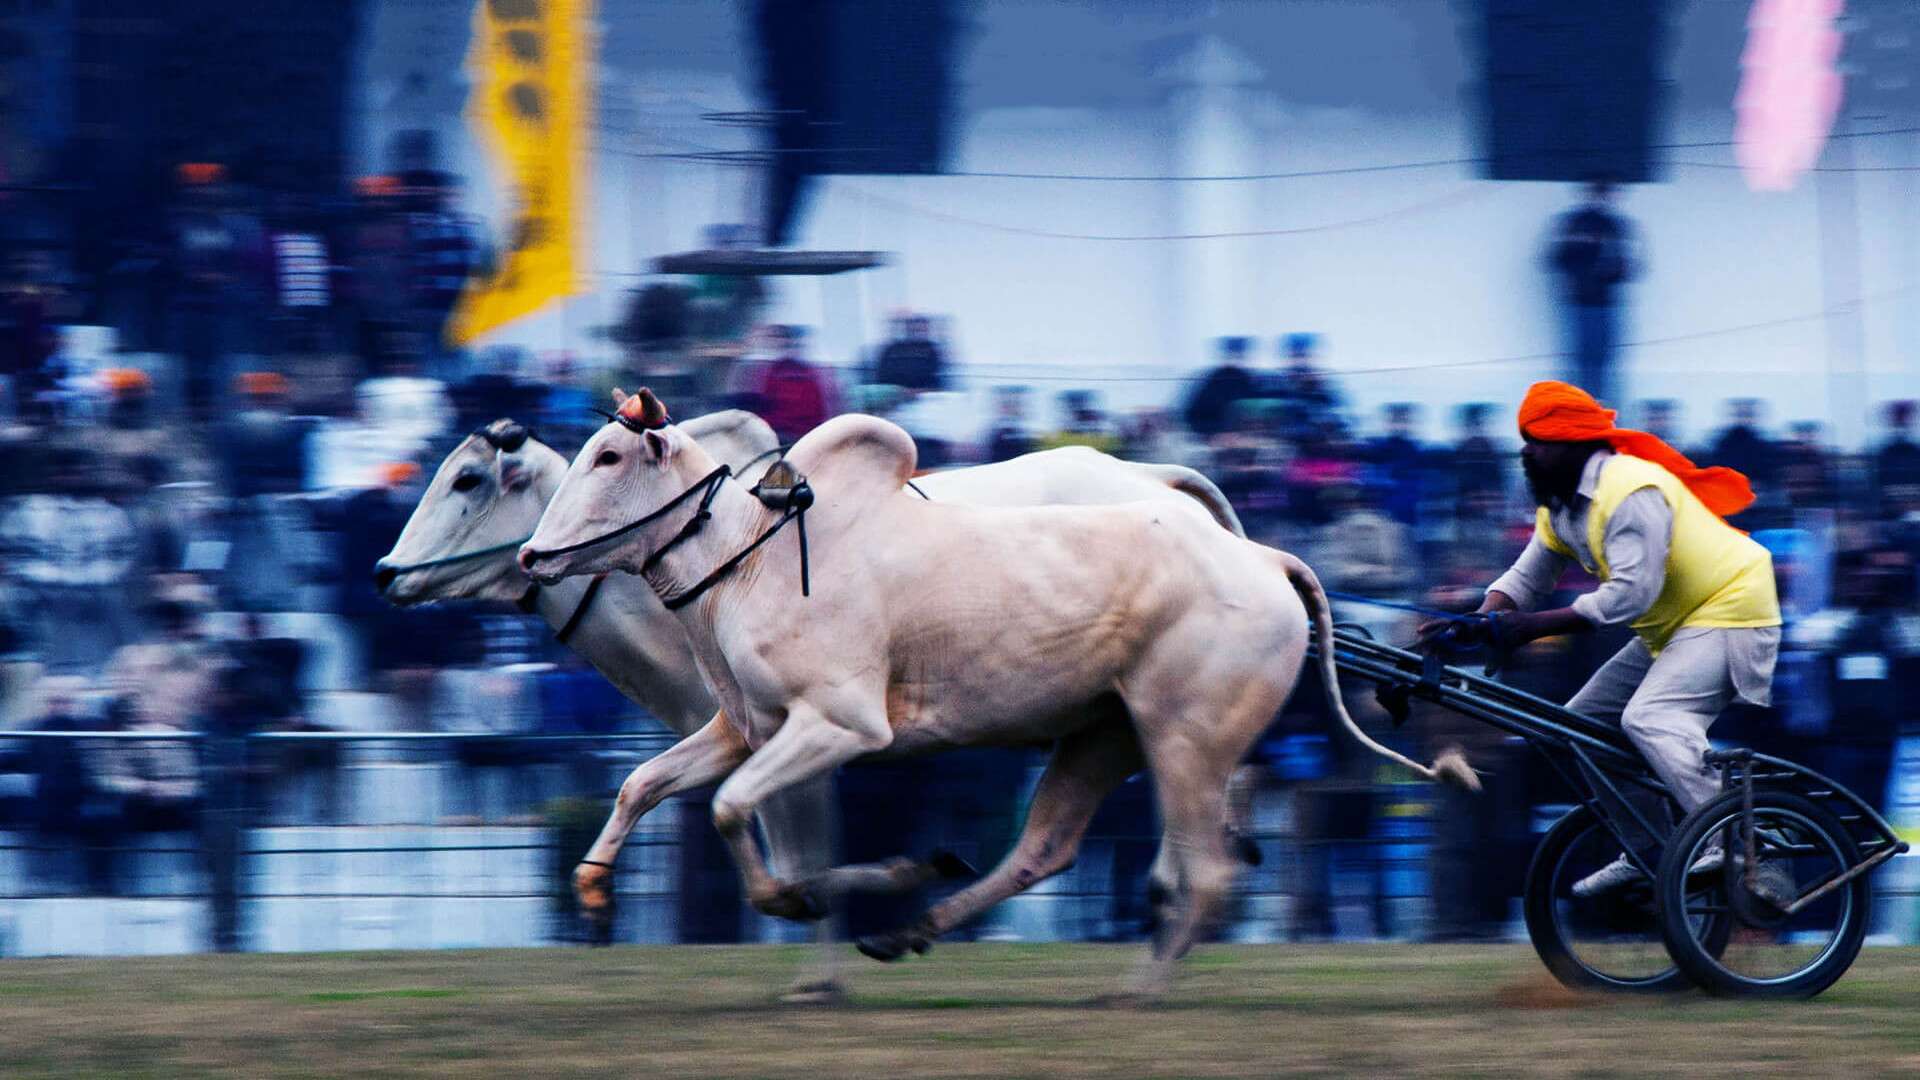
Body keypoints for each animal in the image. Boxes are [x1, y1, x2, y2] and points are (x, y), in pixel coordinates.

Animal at [518, 390, 1474, 999]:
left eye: (609, 454)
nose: (530, 557)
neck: (753, 556)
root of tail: (1267, 559)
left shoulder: (841, 726)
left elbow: (731, 814)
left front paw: (812, 896)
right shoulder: (745, 726)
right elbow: (644, 784)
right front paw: (593, 886)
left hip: (1187, 740)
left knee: (1196, 875)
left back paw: (1134, 991)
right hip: (1104, 737)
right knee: (1045, 851)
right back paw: (913, 928)